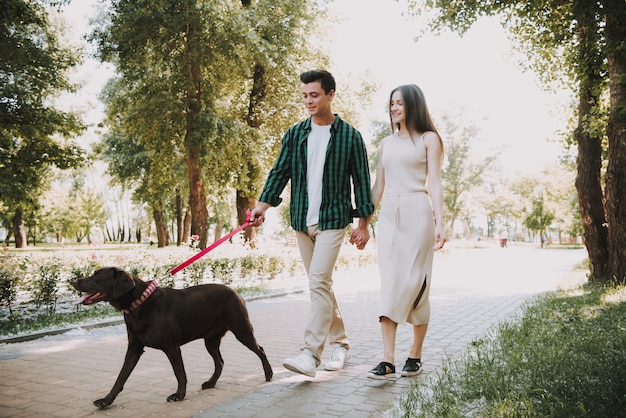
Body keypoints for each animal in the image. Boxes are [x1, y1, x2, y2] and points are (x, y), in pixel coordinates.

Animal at [71, 268, 270, 408]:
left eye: (97, 276)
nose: (72, 281)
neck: (139, 304)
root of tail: (235, 291)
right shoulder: (134, 348)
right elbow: (121, 377)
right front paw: (107, 400)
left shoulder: (172, 347)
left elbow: (179, 373)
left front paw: (179, 395)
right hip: (211, 340)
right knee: (219, 361)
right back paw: (211, 382)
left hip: (242, 330)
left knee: (260, 349)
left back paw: (268, 374)